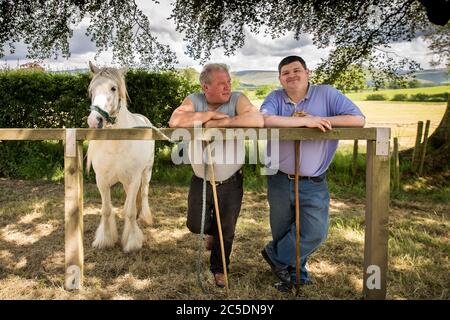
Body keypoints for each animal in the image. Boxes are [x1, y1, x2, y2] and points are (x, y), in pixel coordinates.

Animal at [86, 62, 155, 252]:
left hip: (146, 173)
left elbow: (131, 212)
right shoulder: (101, 180)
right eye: (92, 90)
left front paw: (131, 242)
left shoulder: (134, 178)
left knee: (143, 194)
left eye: (113, 88)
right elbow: (106, 210)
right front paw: (104, 240)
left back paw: (145, 217)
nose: (95, 121)